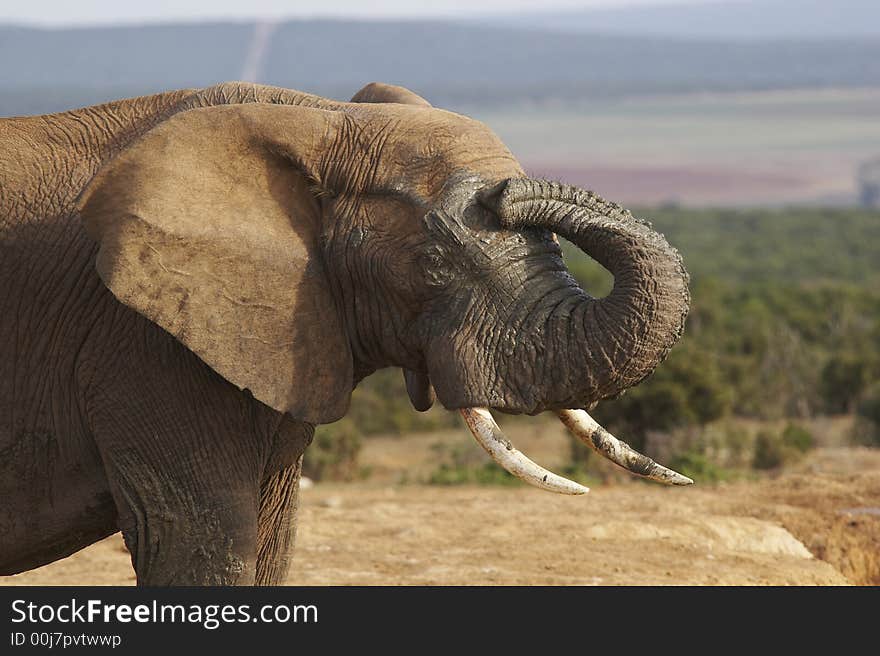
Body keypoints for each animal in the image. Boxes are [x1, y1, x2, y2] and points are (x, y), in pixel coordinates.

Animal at [0, 79, 688, 588]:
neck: (321, 119)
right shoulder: (142, 342)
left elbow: (268, 547)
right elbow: (195, 544)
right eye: (433, 264)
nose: (506, 191)